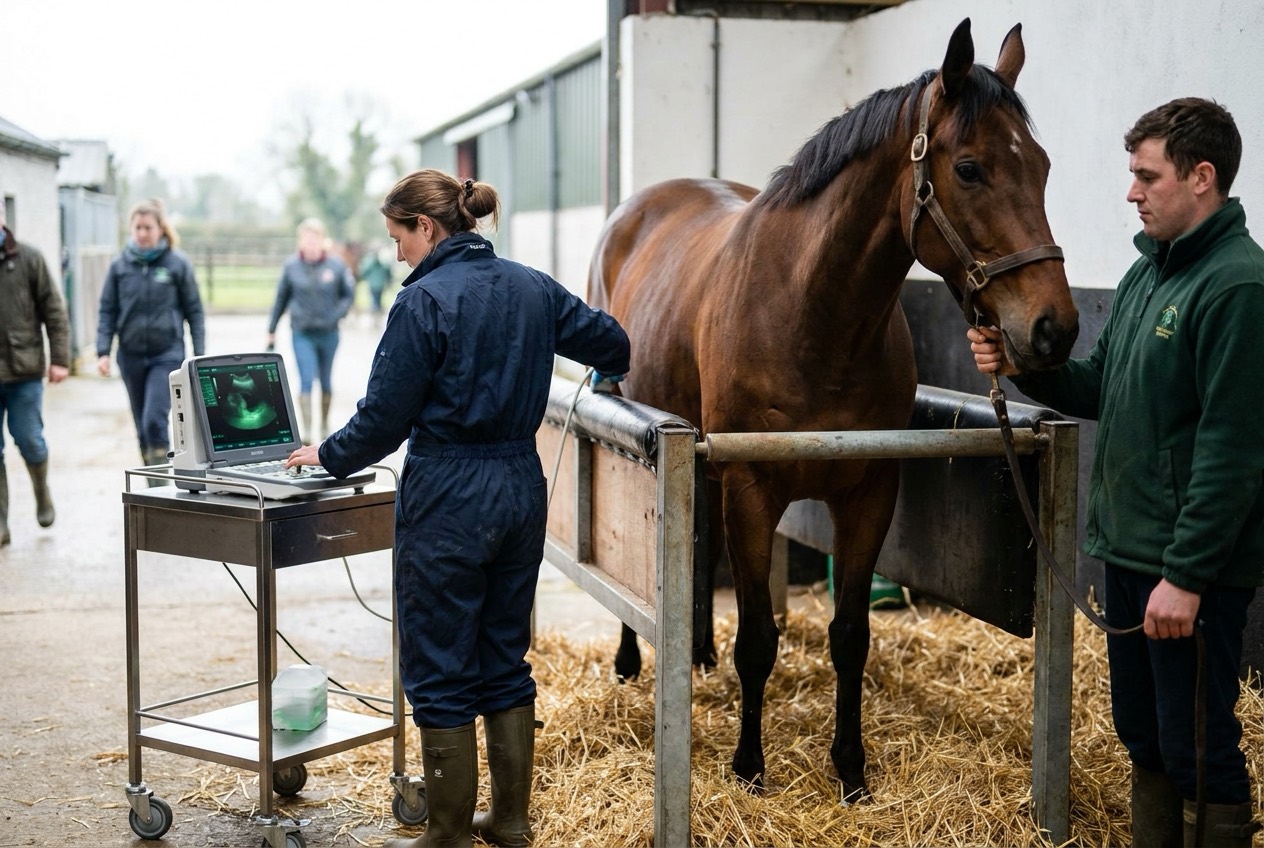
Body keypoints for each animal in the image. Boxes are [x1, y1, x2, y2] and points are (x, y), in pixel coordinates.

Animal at [587, 18, 1078, 801]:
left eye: (1043, 165)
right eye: (969, 168)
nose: (1053, 328)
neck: (810, 313)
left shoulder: (869, 490)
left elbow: (850, 636)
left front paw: (851, 769)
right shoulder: (753, 491)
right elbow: (758, 641)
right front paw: (750, 768)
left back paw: (696, 652)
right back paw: (635, 660)